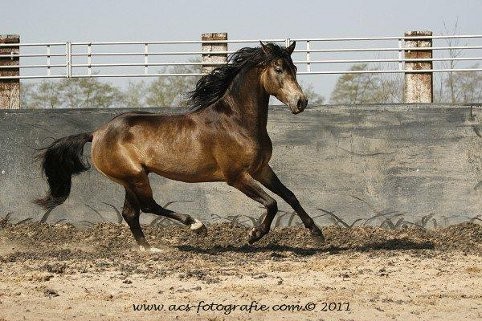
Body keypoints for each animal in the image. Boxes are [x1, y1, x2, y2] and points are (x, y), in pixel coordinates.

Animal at [34, 41, 324, 250]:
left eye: (295, 69)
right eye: (278, 69)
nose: (300, 102)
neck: (236, 122)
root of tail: (95, 133)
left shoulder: (262, 169)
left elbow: (290, 196)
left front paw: (317, 234)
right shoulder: (237, 177)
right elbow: (272, 203)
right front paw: (254, 235)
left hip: (131, 179)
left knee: (131, 213)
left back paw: (149, 249)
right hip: (135, 176)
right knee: (148, 207)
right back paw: (196, 226)